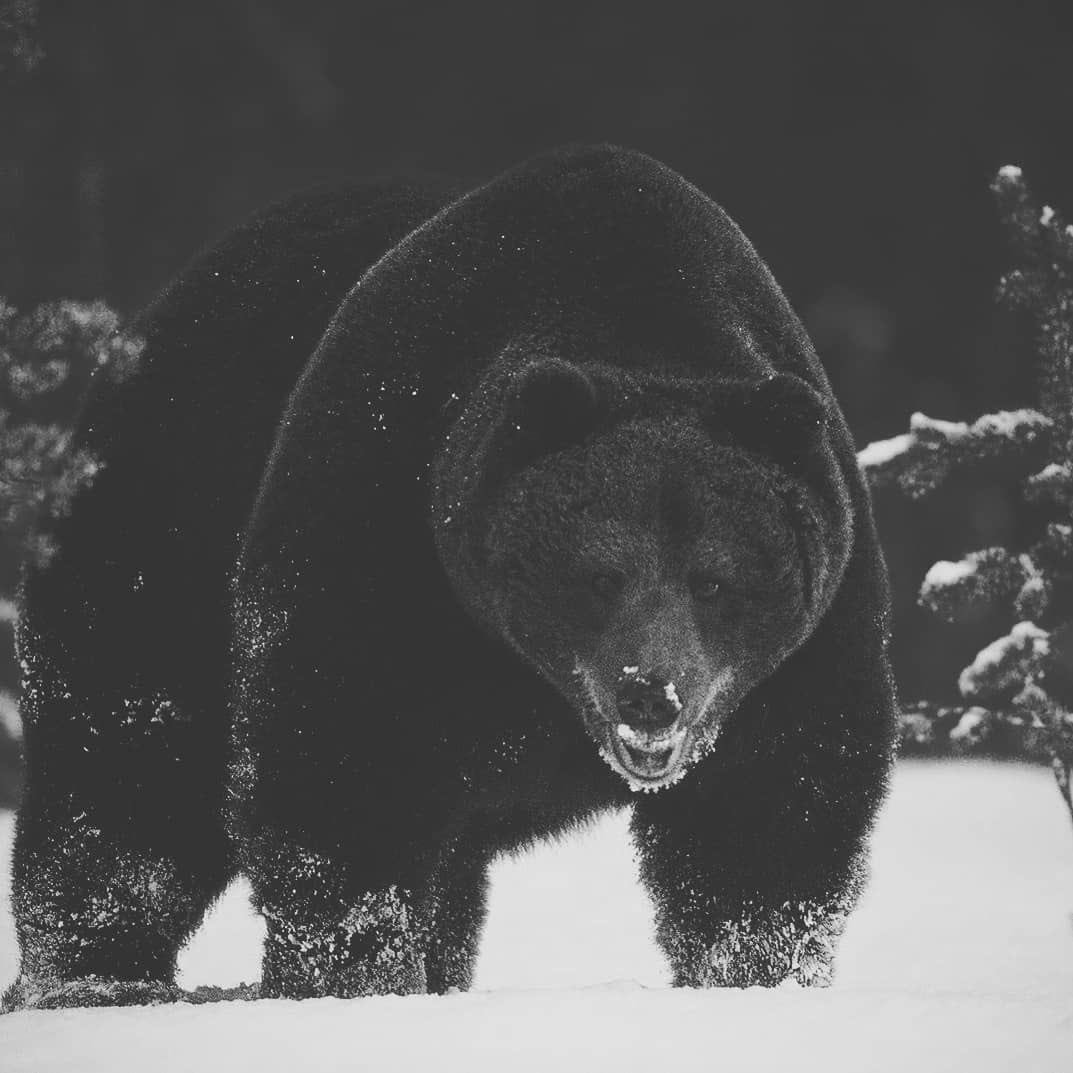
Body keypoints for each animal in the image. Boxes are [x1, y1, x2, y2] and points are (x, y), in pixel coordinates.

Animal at [3, 145, 896, 1010]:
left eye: (714, 579)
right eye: (599, 575)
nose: (651, 692)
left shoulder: (805, 645)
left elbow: (767, 818)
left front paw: (754, 978)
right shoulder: (385, 521)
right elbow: (338, 763)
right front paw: (353, 980)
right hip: (169, 504)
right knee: (130, 763)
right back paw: (95, 978)